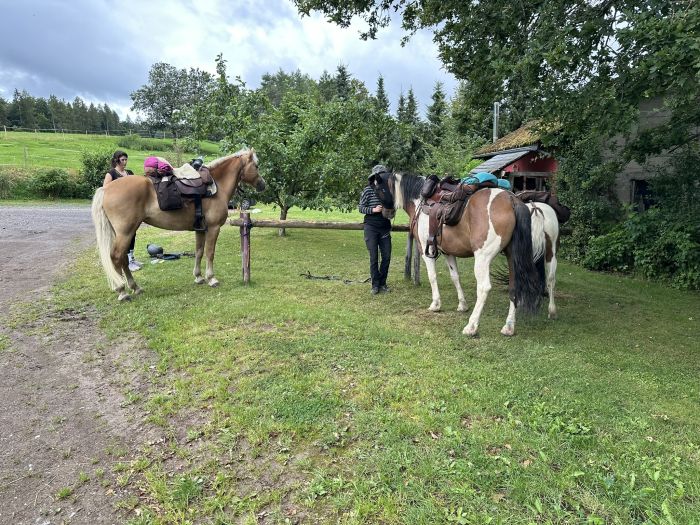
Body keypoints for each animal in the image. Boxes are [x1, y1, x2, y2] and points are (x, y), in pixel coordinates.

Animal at [91, 149, 266, 300]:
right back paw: (122, 291)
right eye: (256, 166)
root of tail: (106, 189)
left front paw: (198, 277)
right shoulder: (213, 228)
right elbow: (210, 253)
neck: (217, 185)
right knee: (116, 257)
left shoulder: (200, 229)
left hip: (125, 233)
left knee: (123, 259)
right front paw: (211, 278)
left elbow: (199, 252)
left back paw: (135, 288)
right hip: (125, 232)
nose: (263, 184)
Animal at [372, 172, 548, 336]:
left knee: (484, 288)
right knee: (514, 287)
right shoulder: (448, 252)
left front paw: (436, 304)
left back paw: (471, 326)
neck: (420, 202)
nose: (385, 213)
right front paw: (462, 304)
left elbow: (432, 276)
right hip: (512, 257)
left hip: (482, 258)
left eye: (379, 189)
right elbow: (455, 276)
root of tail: (512, 200)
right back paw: (509, 327)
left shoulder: (426, 251)